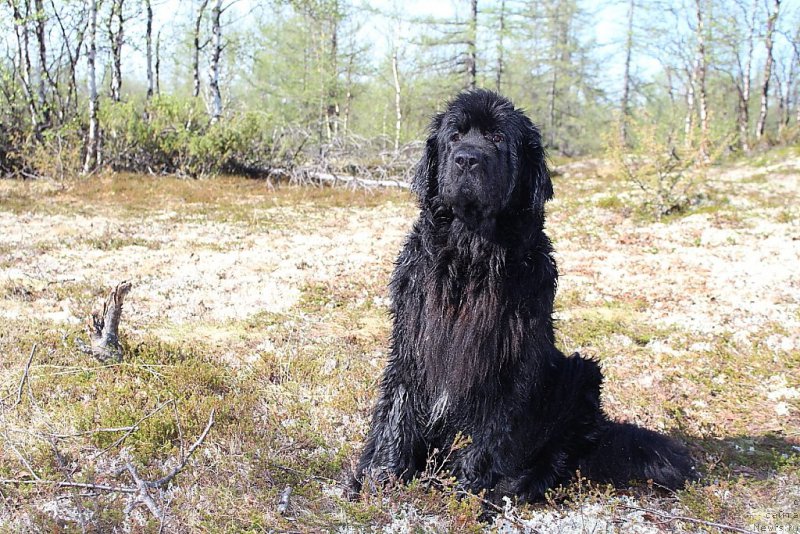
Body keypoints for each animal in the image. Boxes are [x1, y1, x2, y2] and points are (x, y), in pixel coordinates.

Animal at [350, 90, 692, 504]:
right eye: (455, 136)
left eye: (498, 138)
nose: (467, 159)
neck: (471, 253)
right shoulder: (413, 334)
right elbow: (398, 404)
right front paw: (380, 476)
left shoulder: (509, 352)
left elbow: (493, 428)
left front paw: (472, 492)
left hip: (579, 374)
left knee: (559, 454)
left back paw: (520, 484)